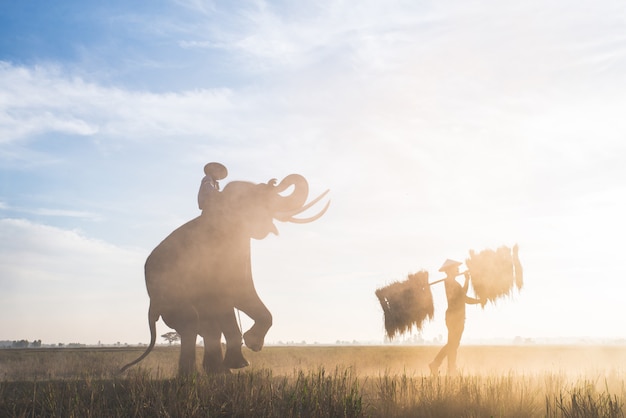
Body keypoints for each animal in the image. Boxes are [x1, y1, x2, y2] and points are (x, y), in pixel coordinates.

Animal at [119, 173, 330, 376]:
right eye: (262, 191)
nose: (275, 180)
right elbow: (233, 294)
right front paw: (247, 354)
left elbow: (242, 291)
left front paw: (250, 347)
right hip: (169, 296)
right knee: (192, 321)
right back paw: (191, 375)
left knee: (208, 326)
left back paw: (218, 372)